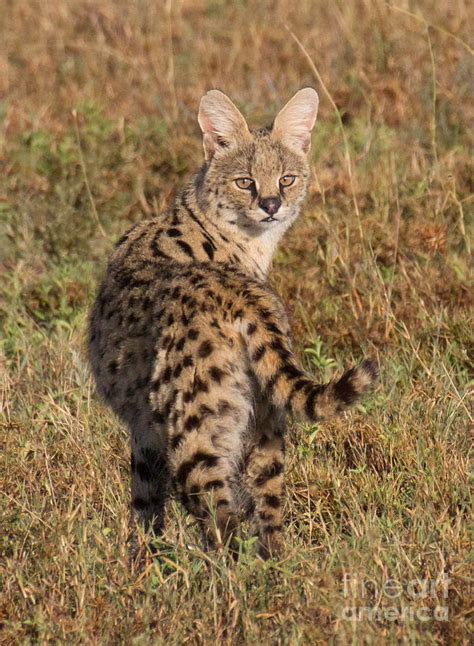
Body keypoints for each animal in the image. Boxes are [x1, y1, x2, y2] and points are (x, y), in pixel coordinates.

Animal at [88, 88, 378, 560]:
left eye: (286, 179)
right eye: (245, 181)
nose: (271, 206)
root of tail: (237, 292)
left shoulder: (147, 431)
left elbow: (148, 507)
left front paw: (147, 567)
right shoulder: (145, 429)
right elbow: (146, 510)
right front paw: (145, 563)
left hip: (196, 428)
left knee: (220, 517)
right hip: (264, 425)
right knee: (268, 513)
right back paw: (277, 570)